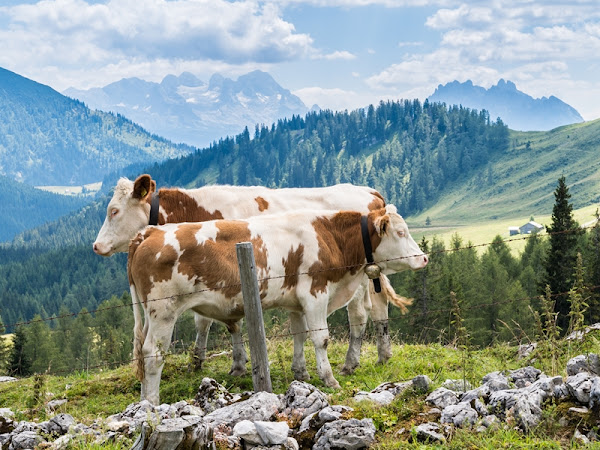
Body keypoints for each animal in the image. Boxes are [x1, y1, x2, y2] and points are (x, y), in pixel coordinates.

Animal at [94, 176, 412, 376]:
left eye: (114, 211)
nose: (96, 246)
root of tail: (369, 192)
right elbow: (225, 322)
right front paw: (233, 362)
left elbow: (206, 320)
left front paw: (203, 360)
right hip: (372, 273)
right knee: (379, 307)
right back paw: (383, 355)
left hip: (358, 279)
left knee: (359, 313)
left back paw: (351, 362)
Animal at [127, 205, 426, 404]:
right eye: (401, 232)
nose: (423, 258)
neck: (329, 236)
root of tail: (149, 232)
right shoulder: (315, 293)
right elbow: (321, 339)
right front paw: (329, 379)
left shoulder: (297, 302)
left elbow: (299, 335)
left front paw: (301, 373)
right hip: (163, 311)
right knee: (153, 353)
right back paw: (151, 402)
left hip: (152, 313)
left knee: (143, 352)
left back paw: (143, 401)